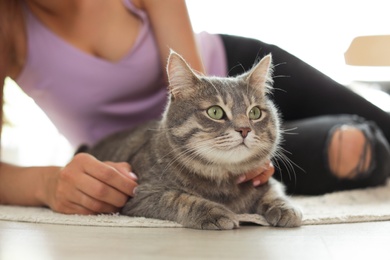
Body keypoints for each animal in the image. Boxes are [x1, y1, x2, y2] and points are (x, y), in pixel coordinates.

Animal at [88, 50, 302, 230]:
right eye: (215, 112)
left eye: (255, 113)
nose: (244, 129)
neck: (223, 179)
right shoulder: (142, 194)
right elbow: (180, 198)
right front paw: (215, 212)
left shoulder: (266, 182)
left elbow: (274, 193)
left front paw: (287, 208)